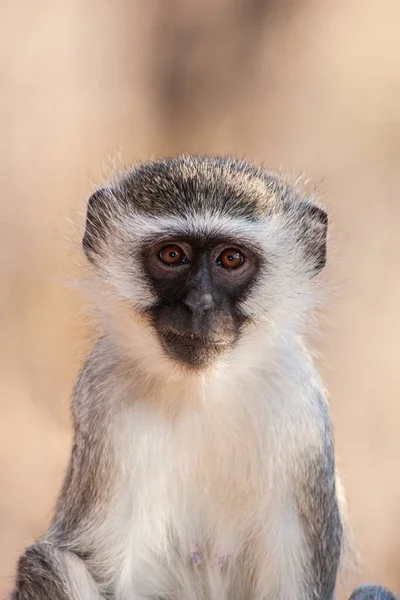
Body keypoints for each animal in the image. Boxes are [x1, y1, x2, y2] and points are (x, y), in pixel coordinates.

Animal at [8, 156, 396, 600]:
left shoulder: (301, 417)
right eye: (172, 254)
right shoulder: (105, 401)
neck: (203, 391)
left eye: (231, 259)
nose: (199, 305)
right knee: (45, 563)